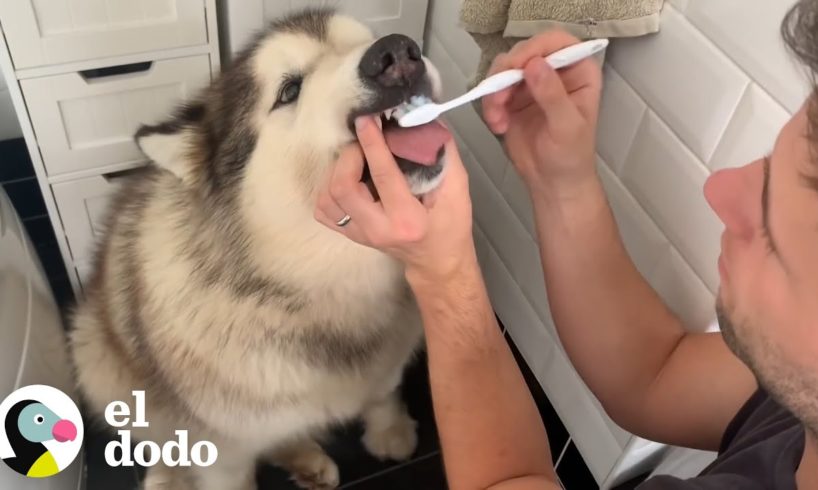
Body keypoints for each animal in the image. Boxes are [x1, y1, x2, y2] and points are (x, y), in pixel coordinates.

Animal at [68, 8, 452, 490]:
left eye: (363, 39)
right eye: (289, 89)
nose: (397, 52)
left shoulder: (388, 358)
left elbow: (383, 389)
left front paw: (390, 430)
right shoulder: (221, 453)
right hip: (95, 356)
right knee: (159, 435)